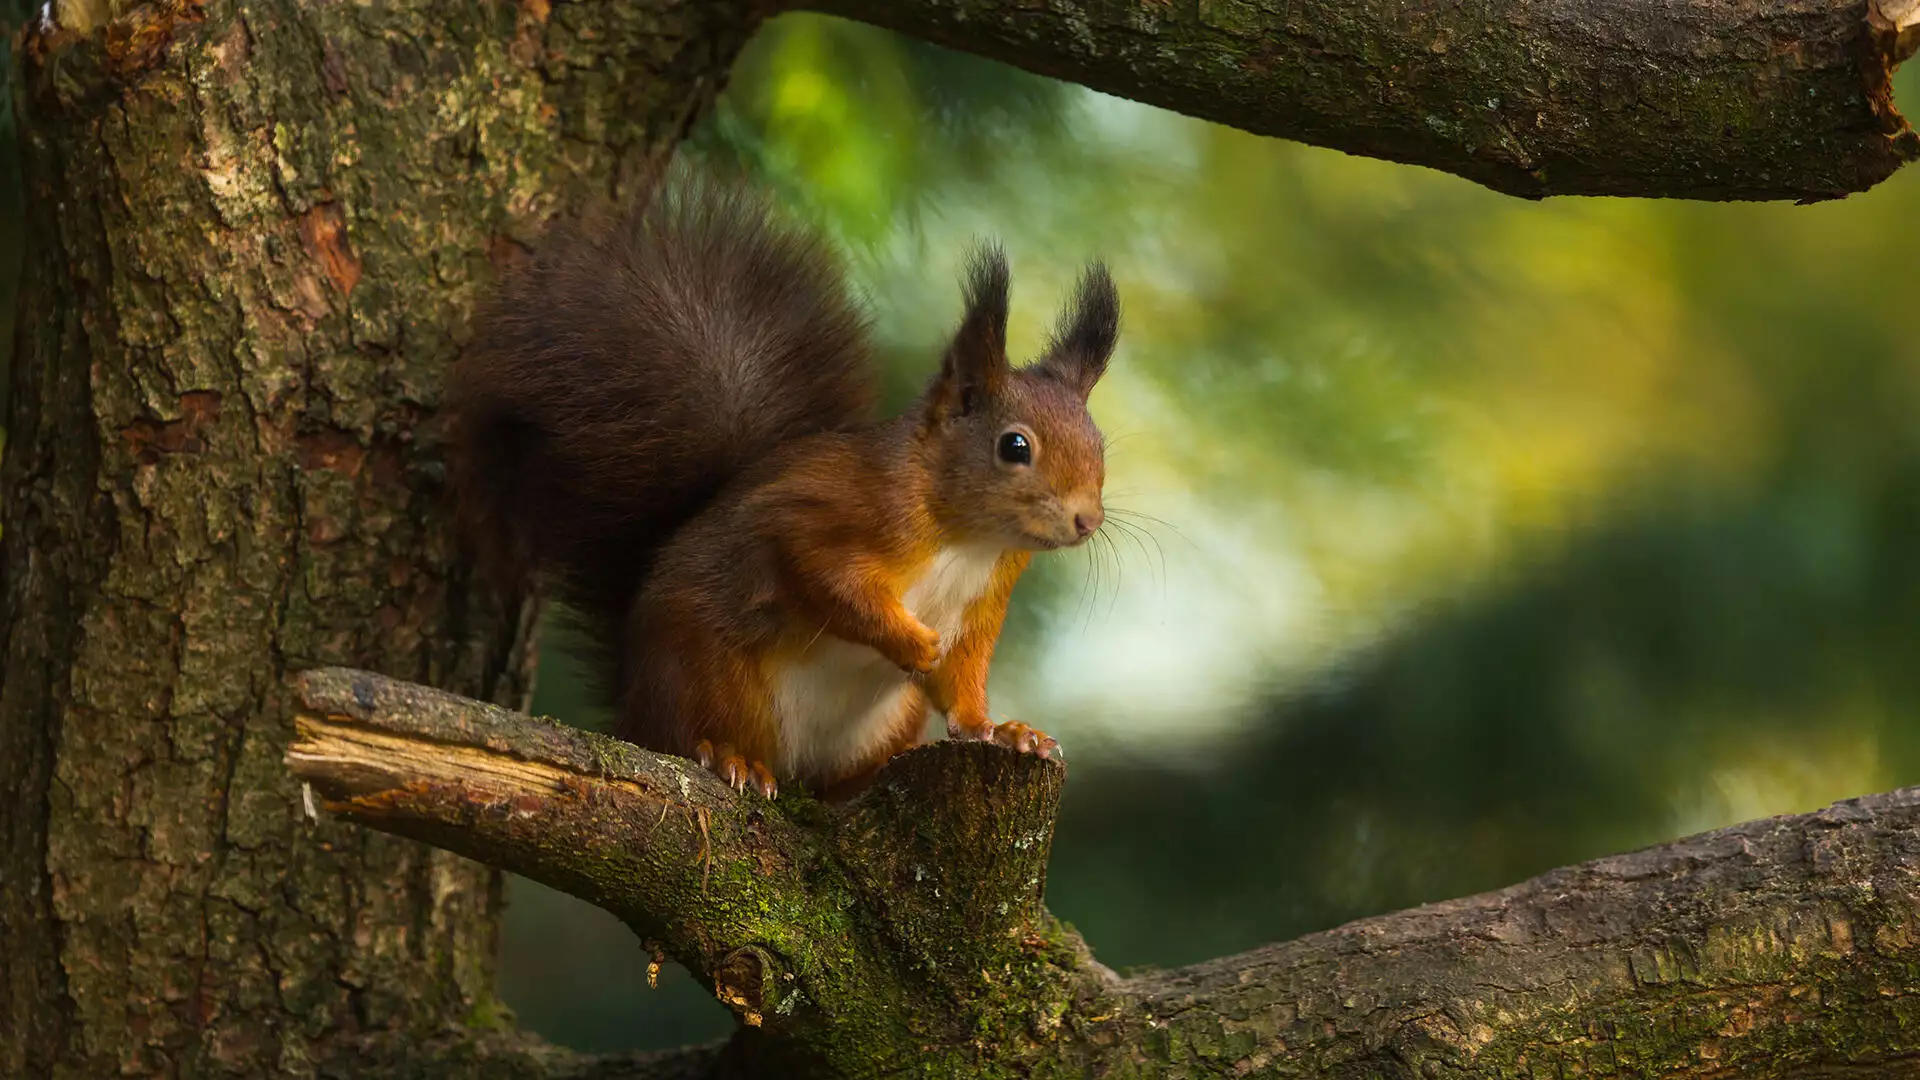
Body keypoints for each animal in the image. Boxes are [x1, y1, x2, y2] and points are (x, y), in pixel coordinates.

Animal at [443, 164, 1121, 795]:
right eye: (1015, 446)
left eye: (1099, 445)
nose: (1087, 520)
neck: (967, 536)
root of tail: (633, 701)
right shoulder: (838, 508)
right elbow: (823, 571)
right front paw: (910, 642)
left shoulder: (982, 606)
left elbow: (962, 682)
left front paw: (1002, 730)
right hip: (713, 680)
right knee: (692, 734)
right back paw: (728, 757)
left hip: (885, 721)